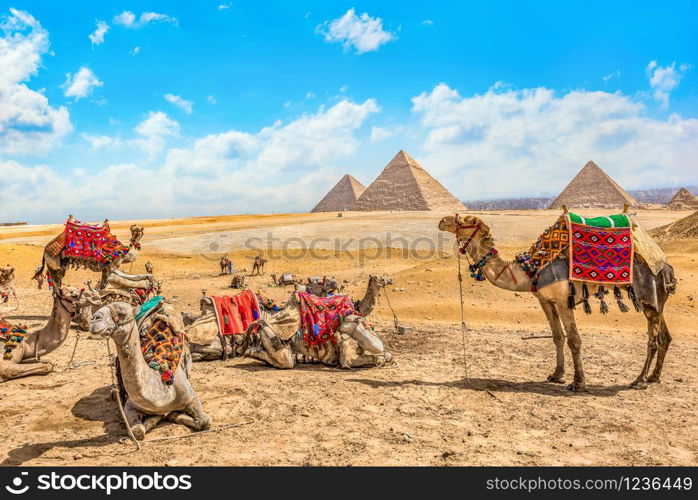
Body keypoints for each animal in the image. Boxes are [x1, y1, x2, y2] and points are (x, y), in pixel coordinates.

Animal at [88, 300, 211, 438]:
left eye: (122, 314)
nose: (94, 319)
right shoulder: (130, 405)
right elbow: (137, 431)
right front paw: (160, 416)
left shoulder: (190, 397)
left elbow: (205, 422)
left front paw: (173, 414)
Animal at [438, 213, 672, 392]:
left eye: (465, 220)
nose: (442, 220)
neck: (531, 269)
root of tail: (665, 265)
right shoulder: (546, 301)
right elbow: (558, 337)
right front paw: (557, 374)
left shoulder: (562, 301)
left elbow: (574, 340)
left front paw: (578, 383)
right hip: (657, 301)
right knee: (665, 337)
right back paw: (654, 377)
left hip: (649, 294)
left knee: (653, 340)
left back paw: (639, 381)